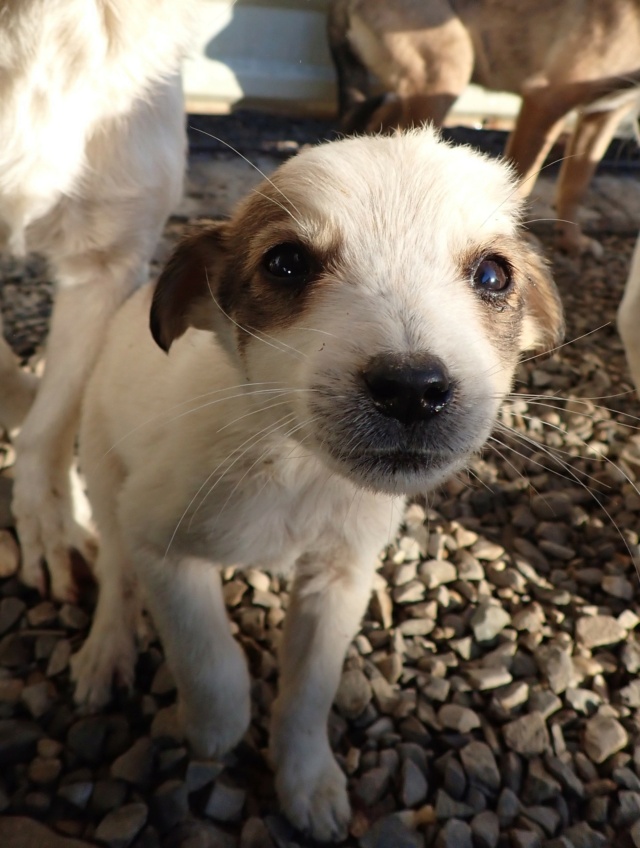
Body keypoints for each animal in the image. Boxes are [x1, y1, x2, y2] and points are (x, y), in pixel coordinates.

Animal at [69, 129, 560, 844]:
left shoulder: (340, 575)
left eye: (493, 275)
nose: (413, 389)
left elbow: (308, 691)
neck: (297, 469)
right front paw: (210, 733)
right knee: (113, 571)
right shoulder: (158, 540)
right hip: (105, 475)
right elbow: (210, 660)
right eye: (286, 264)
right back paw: (106, 649)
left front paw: (306, 781)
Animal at [328, 0, 640, 255]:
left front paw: (571, 241)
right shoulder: (546, 100)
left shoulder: (602, 116)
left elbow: (575, 185)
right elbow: (520, 183)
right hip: (446, 71)